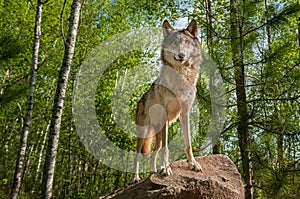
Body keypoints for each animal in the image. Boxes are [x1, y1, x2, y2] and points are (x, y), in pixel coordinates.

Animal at [134, 19, 203, 183]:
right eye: (173, 43)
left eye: (186, 43)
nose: (181, 55)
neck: (181, 76)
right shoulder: (166, 116)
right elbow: (167, 148)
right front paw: (166, 168)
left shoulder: (185, 114)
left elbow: (188, 144)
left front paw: (193, 164)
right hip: (143, 134)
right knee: (137, 156)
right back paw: (136, 178)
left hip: (157, 136)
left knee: (153, 155)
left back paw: (154, 172)